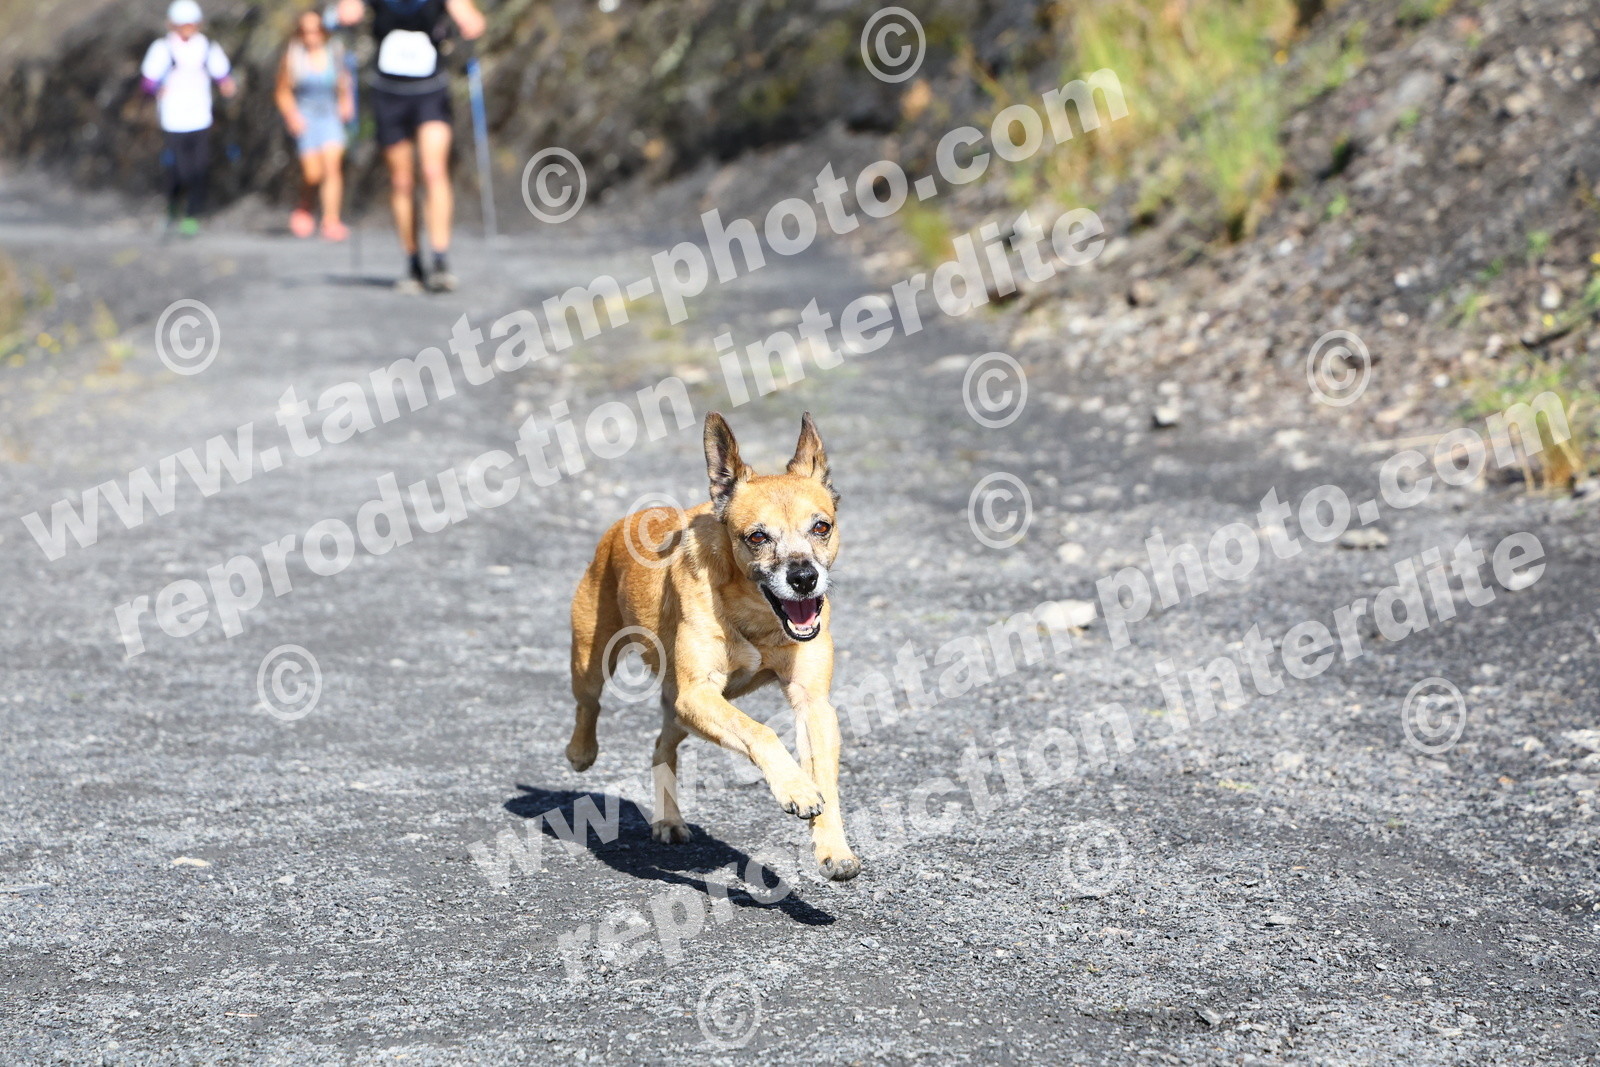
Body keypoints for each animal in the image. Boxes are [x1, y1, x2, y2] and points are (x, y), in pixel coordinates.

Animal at [565, 411, 860, 882]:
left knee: (661, 748)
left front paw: (833, 849)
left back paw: (668, 820)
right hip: (598, 662)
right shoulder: (698, 694)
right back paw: (581, 753)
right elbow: (761, 731)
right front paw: (795, 788)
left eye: (822, 527)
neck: (758, 616)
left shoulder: (811, 703)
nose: (803, 578)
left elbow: (826, 781)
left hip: (680, 710)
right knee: (588, 704)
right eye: (757, 537)